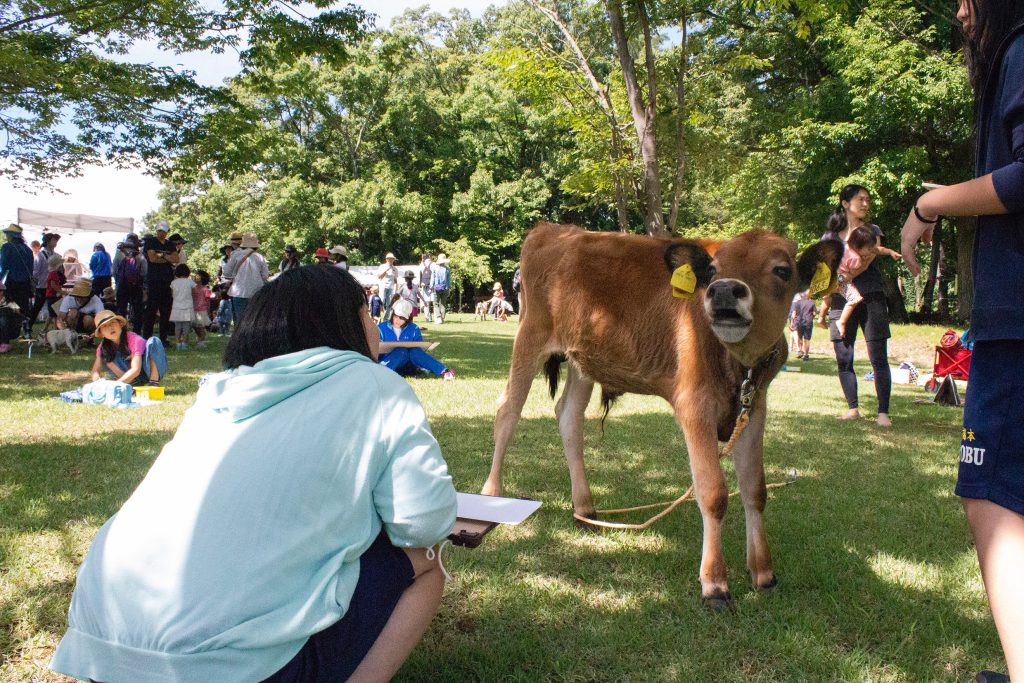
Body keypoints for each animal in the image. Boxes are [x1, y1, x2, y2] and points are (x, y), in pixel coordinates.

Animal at [481, 223, 839, 610]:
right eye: (713, 269)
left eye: (782, 270)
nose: (723, 291)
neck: (738, 365)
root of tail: (554, 229)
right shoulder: (694, 404)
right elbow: (713, 492)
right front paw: (715, 584)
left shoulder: (754, 408)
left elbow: (755, 489)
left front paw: (763, 573)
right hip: (529, 336)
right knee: (507, 411)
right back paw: (491, 495)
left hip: (583, 360)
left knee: (568, 416)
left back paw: (585, 509)